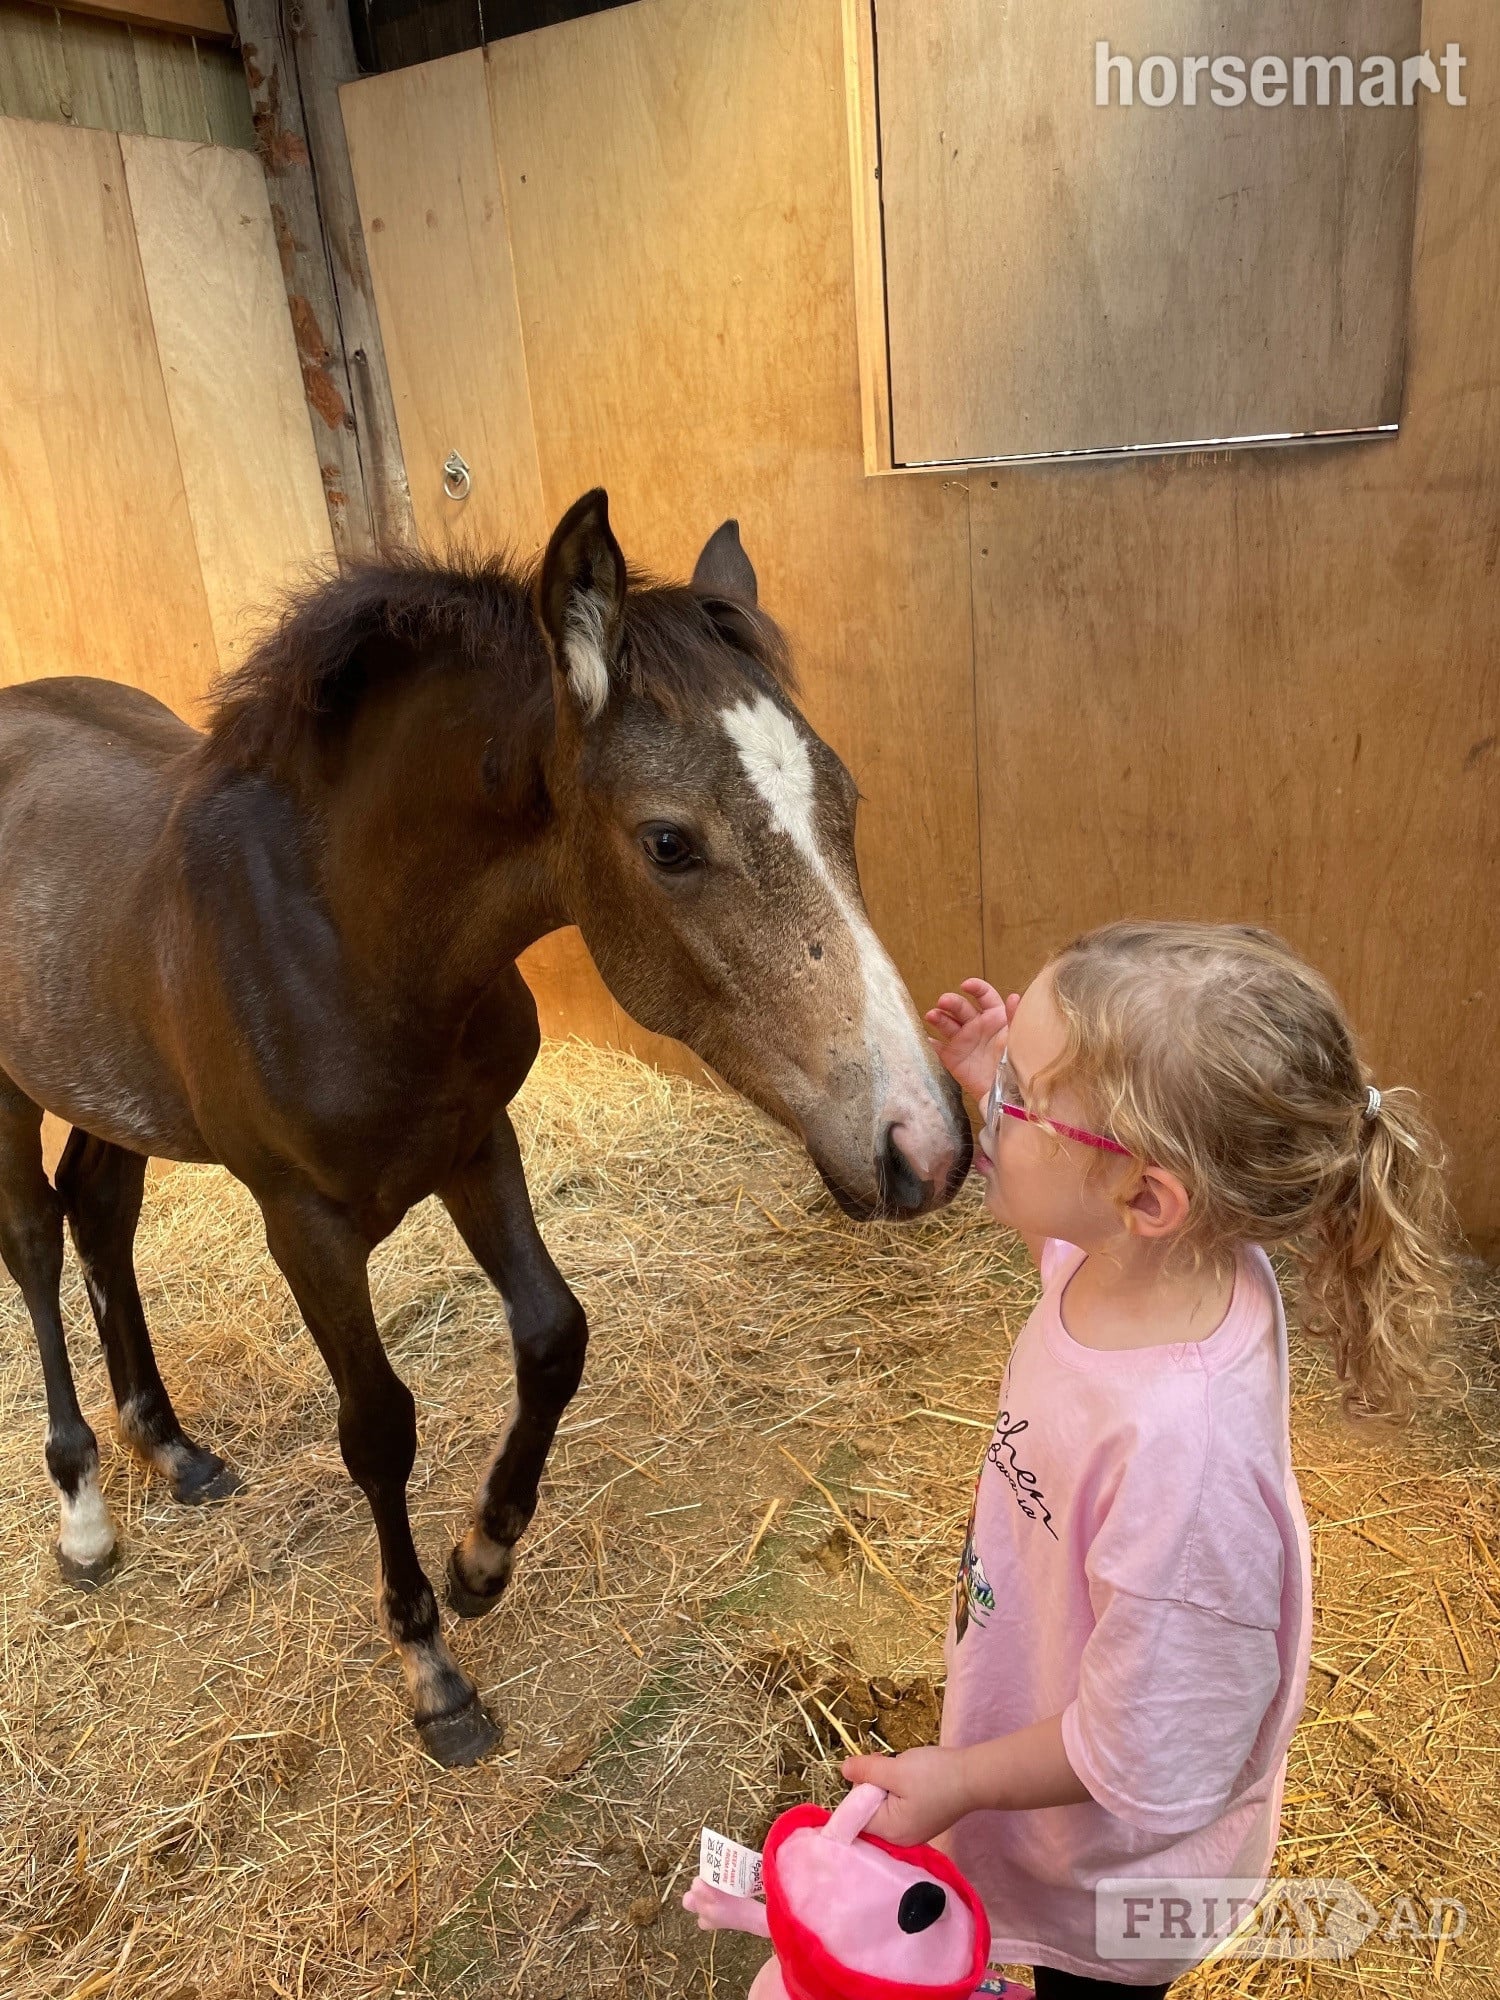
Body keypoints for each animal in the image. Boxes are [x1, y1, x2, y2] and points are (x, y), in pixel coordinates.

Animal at [0, 490, 970, 1764]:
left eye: (844, 799)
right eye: (669, 841)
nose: (926, 1145)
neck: (347, 936)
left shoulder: (475, 1141)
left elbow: (554, 1334)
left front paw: (480, 1560)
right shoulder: (300, 1221)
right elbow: (377, 1424)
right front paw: (433, 1671)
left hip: (111, 1078)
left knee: (100, 1214)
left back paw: (170, 1447)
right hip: (11, 1082)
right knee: (33, 1238)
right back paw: (84, 1514)